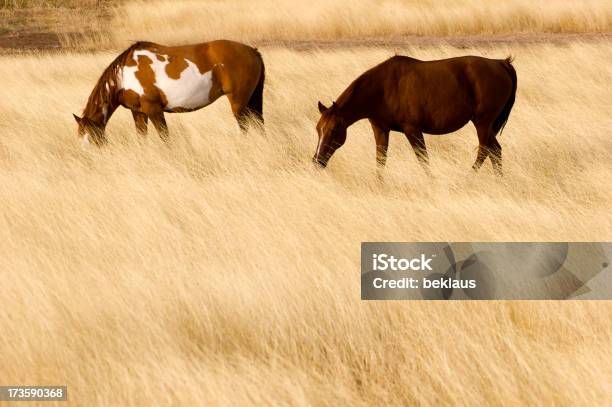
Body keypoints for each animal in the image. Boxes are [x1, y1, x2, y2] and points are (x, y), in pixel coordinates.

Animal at [73, 39, 264, 147]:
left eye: (91, 137)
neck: (124, 76)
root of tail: (252, 51)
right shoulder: (138, 112)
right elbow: (142, 137)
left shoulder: (154, 110)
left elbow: (164, 138)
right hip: (252, 101)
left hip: (238, 102)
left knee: (244, 127)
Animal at [316, 54, 516, 175]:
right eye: (318, 130)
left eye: (333, 130)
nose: (317, 160)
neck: (382, 88)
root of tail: (501, 63)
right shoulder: (380, 129)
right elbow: (380, 160)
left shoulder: (412, 130)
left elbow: (423, 159)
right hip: (487, 125)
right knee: (495, 150)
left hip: (482, 122)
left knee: (484, 150)